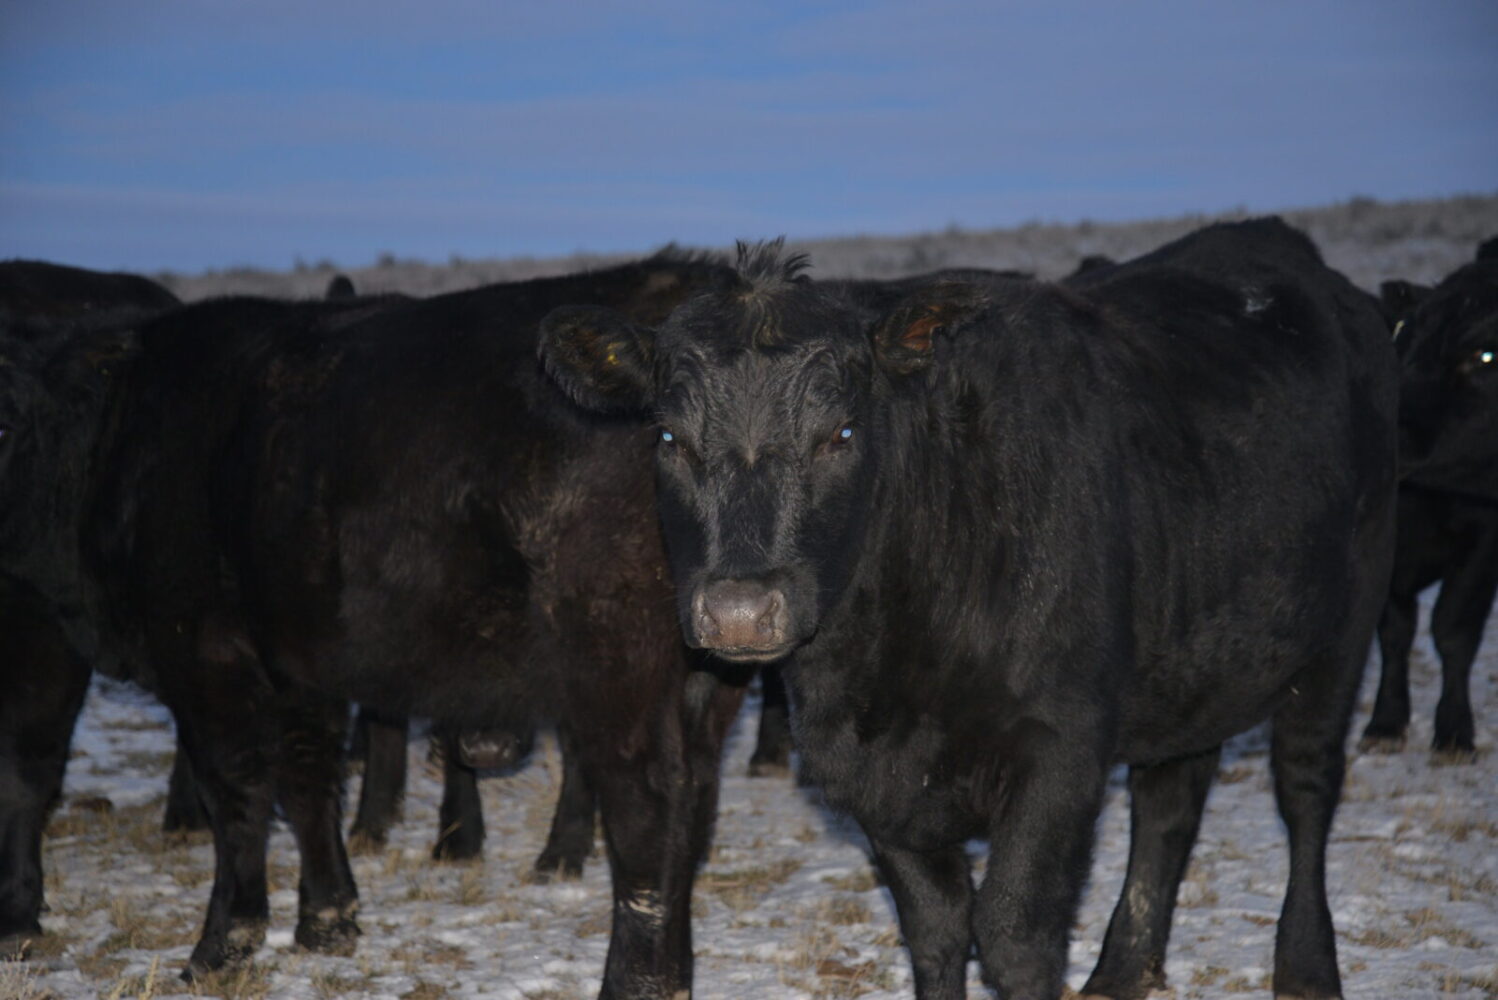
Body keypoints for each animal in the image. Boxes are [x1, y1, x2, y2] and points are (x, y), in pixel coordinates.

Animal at [65, 251, 749, 994]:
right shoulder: (299, 663)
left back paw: (635, 981)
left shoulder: (202, 651)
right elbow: (307, 780)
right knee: (694, 799)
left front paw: (222, 942)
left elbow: (238, 792)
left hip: (618, 665)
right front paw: (327, 917)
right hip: (701, 677)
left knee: (648, 808)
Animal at [545, 223, 1396, 999]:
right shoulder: (876, 785)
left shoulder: (1061, 754)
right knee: (1169, 803)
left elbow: (1015, 937)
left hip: (1346, 622)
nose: (740, 611)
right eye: (668, 438)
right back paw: (1122, 972)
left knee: (1306, 788)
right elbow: (936, 930)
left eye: (840, 434)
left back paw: (1306, 968)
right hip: (1195, 658)